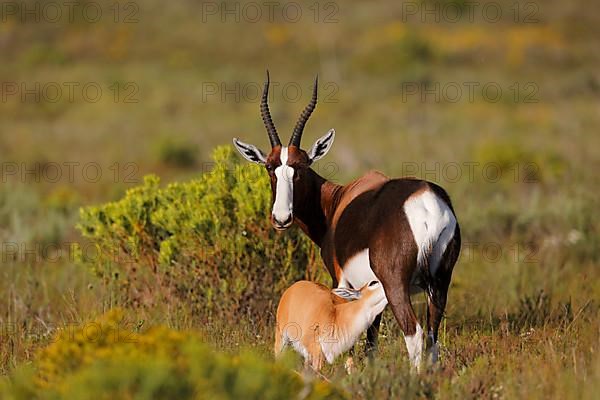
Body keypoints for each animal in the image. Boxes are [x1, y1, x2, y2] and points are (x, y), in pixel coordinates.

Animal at [232, 72, 462, 368]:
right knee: (433, 336)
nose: (281, 218)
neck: (338, 201)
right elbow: (371, 340)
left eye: (300, 167)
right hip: (440, 284)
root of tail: (427, 202)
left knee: (414, 334)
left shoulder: (342, 282)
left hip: (395, 285)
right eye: (270, 168)